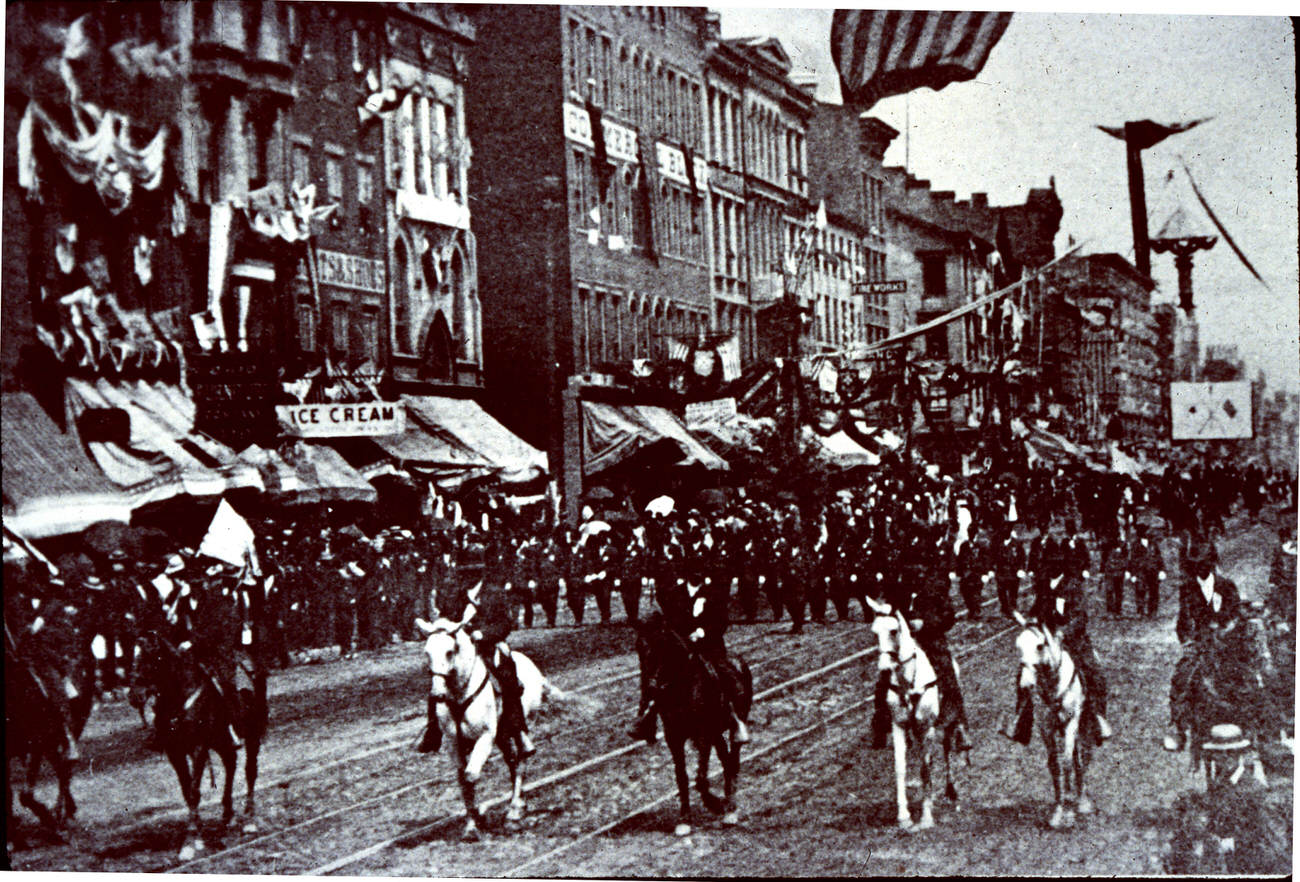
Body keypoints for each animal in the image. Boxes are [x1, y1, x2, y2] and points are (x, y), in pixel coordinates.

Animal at [130, 632, 267, 858]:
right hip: (221, 740)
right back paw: (228, 815)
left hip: (252, 735)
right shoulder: (175, 752)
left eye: (153, 656)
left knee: (250, 771)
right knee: (230, 764)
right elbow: (187, 792)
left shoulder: (198, 748)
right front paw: (198, 833)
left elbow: (194, 792)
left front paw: (190, 840)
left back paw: (249, 820)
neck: (179, 696)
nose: (135, 696)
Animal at [421, 614, 553, 842]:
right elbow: (463, 780)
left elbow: (471, 774)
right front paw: (472, 824)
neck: (460, 694)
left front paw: (479, 818)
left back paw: (514, 811)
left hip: (523, 724)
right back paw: (519, 804)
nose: (437, 694)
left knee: (521, 760)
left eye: (449, 651)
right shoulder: (453, 743)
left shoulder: (485, 737)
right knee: (511, 761)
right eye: (427, 652)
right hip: (502, 735)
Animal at [631, 611, 754, 837]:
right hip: (716, 732)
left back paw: (730, 809)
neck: (682, 687)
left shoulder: (703, 733)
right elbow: (682, 777)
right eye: (639, 647)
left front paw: (716, 804)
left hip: (732, 723)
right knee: (725, 760)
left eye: (662, 645)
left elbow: (701, 777)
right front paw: (684, 820)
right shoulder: (674, 737)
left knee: (733, 760)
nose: (650, 688)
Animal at [868, 598, 961, 832]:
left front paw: (926, 817)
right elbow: (900, 768)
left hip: (946, 722)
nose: (884, 669)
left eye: (894, 630)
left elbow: (925, 769)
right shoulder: (899, 725)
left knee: (946, 749)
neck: (908, 681)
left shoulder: (927, 727)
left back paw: (952, 792)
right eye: (874, 632)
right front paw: (904, 816)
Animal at [1008, 611, 1092, 832]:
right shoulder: (1045, 727)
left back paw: (1082, 800)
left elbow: (1068, 762)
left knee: (1080, 757)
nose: (1026, 684)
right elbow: (1054, 765)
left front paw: (1070, 809)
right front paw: (1058, 811)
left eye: (1039, 646)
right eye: (1017, 646)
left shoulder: (1072, 722)